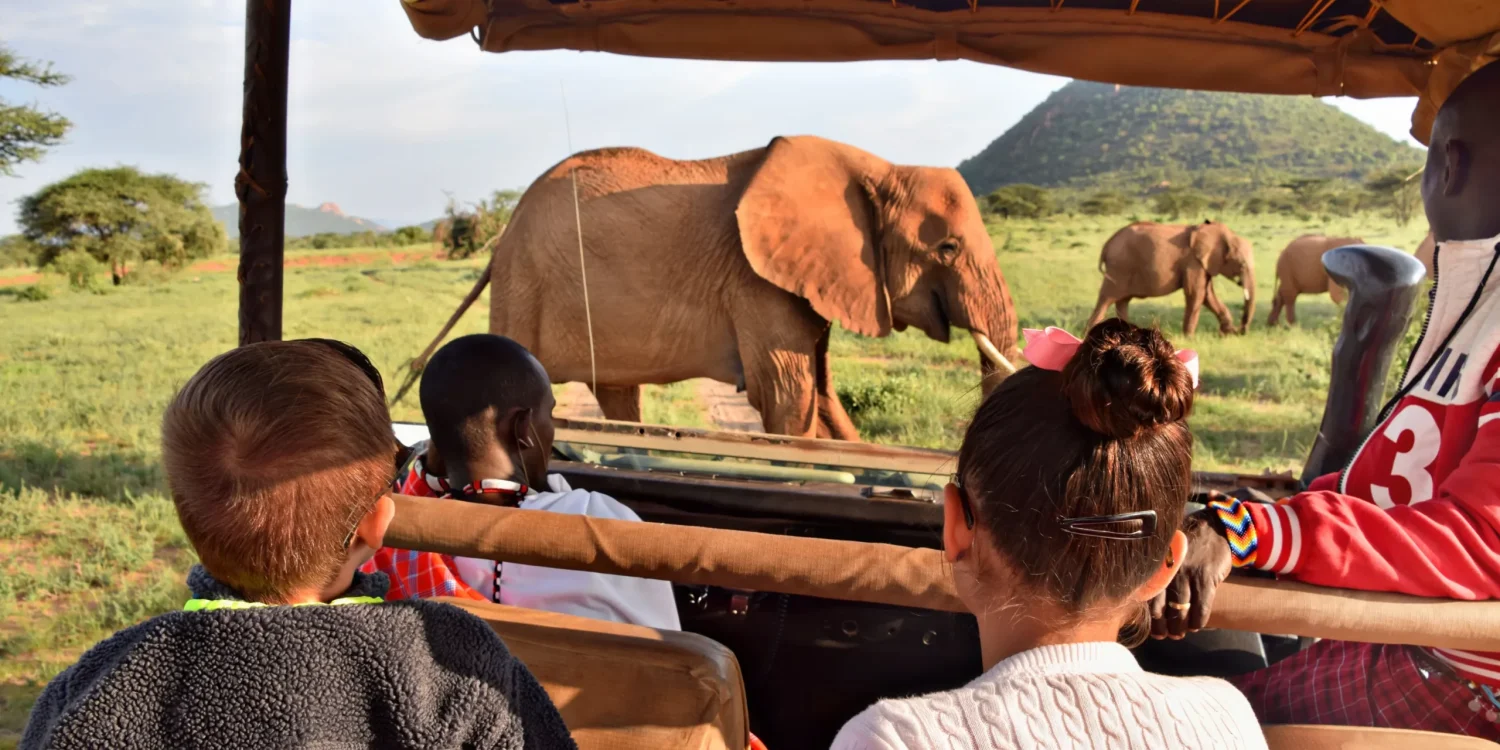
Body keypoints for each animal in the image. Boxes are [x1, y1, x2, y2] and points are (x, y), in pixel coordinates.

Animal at [418, 136, 1021, 440]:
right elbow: (787, 396)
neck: (877, 166)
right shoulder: (755, 281)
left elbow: (821, 394)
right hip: (526, 284)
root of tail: (502, 237)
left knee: (617, 392)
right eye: (948, 249)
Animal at [1085, 221, 1255, 336]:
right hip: (1119, 268)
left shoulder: (1202, 264)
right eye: (1242, 264)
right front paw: (1189, 338)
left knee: (1122, 301)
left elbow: (1208, 295)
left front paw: (1226, 334)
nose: (1241, 331)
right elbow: (1196, 293)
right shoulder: (1193, 262)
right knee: (1106, 299)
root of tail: (1107, 244)